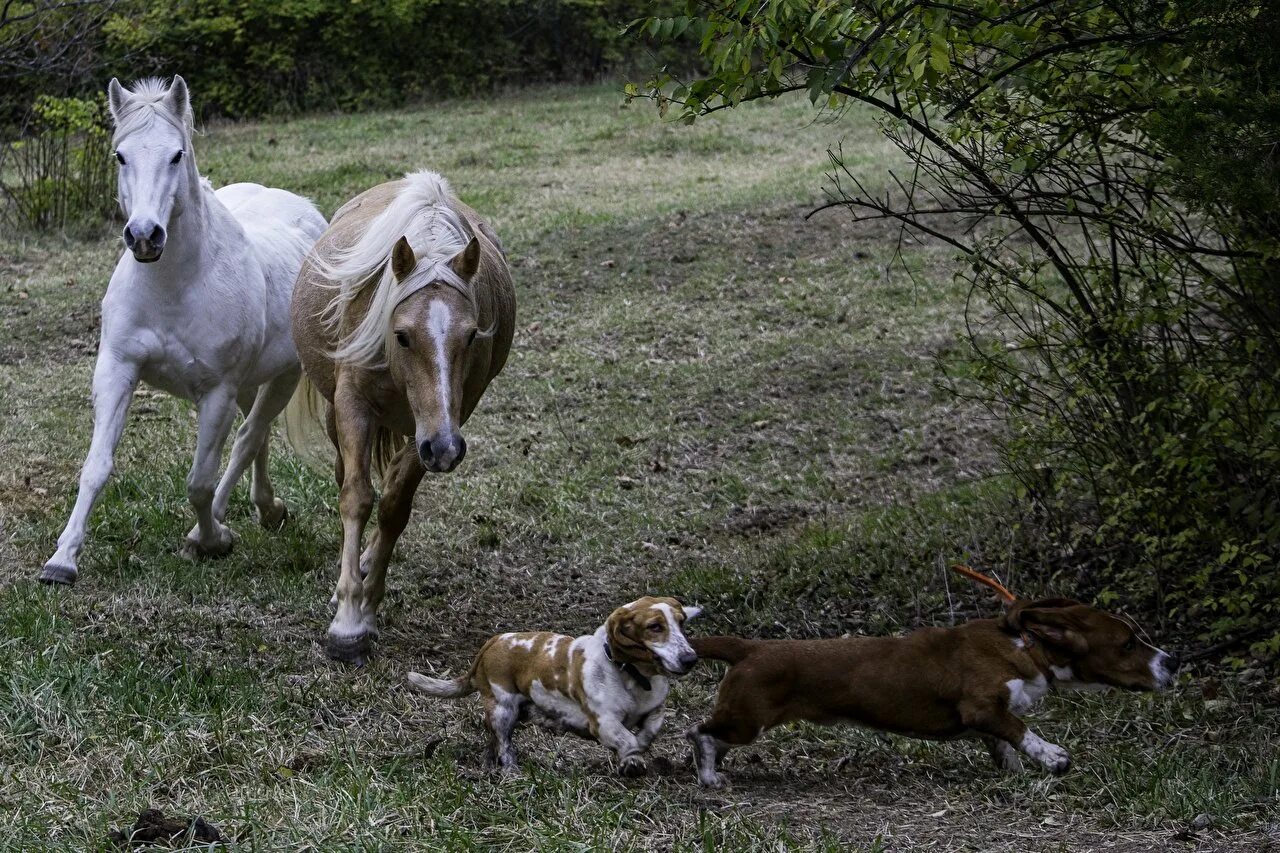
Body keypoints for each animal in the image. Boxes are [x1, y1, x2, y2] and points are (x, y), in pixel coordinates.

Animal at [42, 76, 327, 581]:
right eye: (120, 156)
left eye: (177, 155)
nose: (144, 236)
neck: (173, 285)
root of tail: (308, 212)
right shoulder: (117, 369)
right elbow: (96, 465)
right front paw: (62, 559)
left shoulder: (216, 392)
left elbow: (199, 481)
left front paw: (211, 540)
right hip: (251, 383)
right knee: (257, 437)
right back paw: (267, 507)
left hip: (284, 377)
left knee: (249, 437)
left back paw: (221, 522)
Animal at [289, 171, 514, 666]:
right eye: (403, 335)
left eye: (472, 335)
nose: (446, 449)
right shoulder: (353, 404)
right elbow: (356, 497)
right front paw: (347, 623)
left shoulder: (433, 427)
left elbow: (394, 506)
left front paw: (367, 603)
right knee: (344, 475)